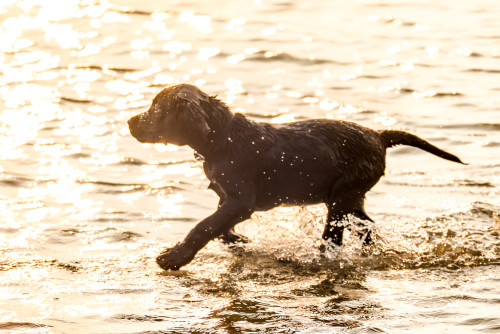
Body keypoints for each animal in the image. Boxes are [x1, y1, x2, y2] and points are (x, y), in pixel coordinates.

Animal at [128, 84, 464, 272]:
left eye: (156, 109)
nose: (130, 121)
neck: (221, 138)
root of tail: (379, 135)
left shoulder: (240, 201)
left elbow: (203, 226)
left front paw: (174, 257)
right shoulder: (227, 198)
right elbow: (218, 226)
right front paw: (237, 240)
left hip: (341, 198)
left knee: (334, 238)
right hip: (350, 197)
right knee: (366, 225)